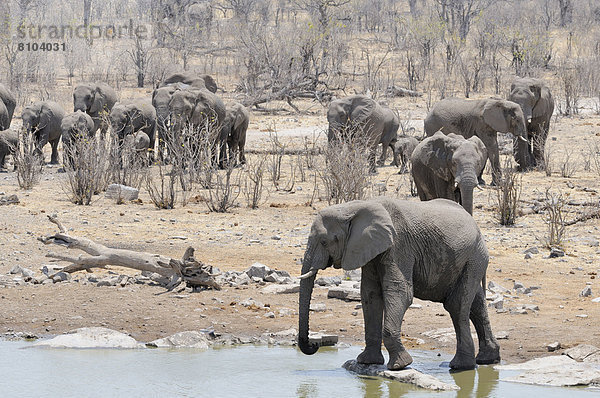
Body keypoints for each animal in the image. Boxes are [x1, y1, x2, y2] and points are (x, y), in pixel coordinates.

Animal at [298, 198, 502, 370]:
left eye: (324, 242)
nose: (315, 344)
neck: (356, 206)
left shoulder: (399, 245)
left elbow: (400, 292)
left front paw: (400, 366)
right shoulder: (370, 250)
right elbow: (370, 295)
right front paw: (366, 362)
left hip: (474, 256)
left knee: (457, 305)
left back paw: (461, 366)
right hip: (471, 259)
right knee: (476, 304)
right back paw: (487, 360)